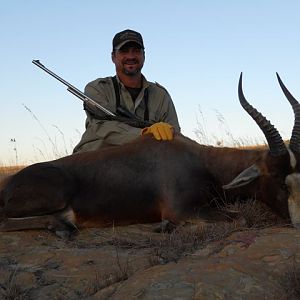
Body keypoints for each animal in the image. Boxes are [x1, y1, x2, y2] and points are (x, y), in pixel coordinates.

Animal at [0, 73, 300, 237]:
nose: (296, 223)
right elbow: (241, 218)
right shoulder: (181, 209)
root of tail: (9, 185)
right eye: (280, 180)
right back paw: (63, 226)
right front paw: (164, 227)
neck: (201, 162)